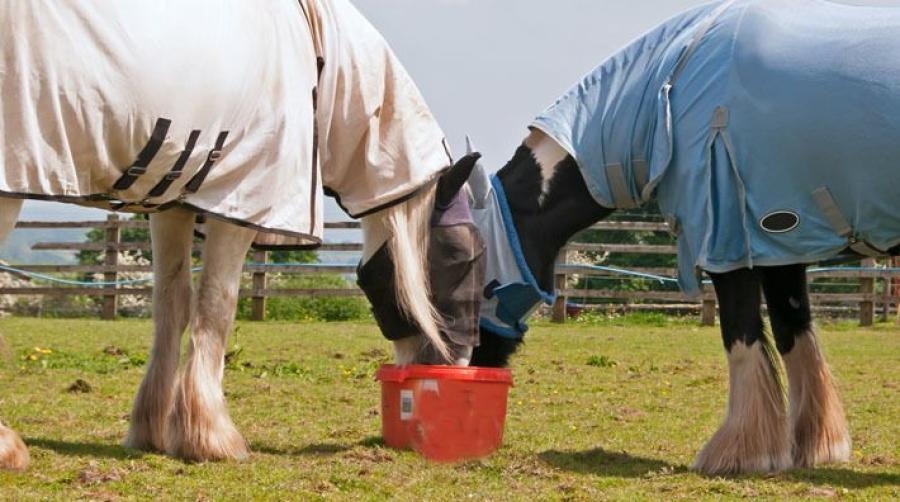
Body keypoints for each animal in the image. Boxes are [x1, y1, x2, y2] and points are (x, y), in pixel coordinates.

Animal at [0, 0, 482, 470]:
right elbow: (217, 305)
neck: (321, 63)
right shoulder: (241, 202)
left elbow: (173, 305)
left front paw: (154, 430)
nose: (460, 364)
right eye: (464, 255)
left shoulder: (173, 205)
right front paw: (210, 436)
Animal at [472, 0, 900, 474]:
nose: (470, 365)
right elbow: (793, 333)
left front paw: (740, 454)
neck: (672, 83)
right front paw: (815, 445)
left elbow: (741, 334)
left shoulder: (730, 244)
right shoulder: (780, 251)